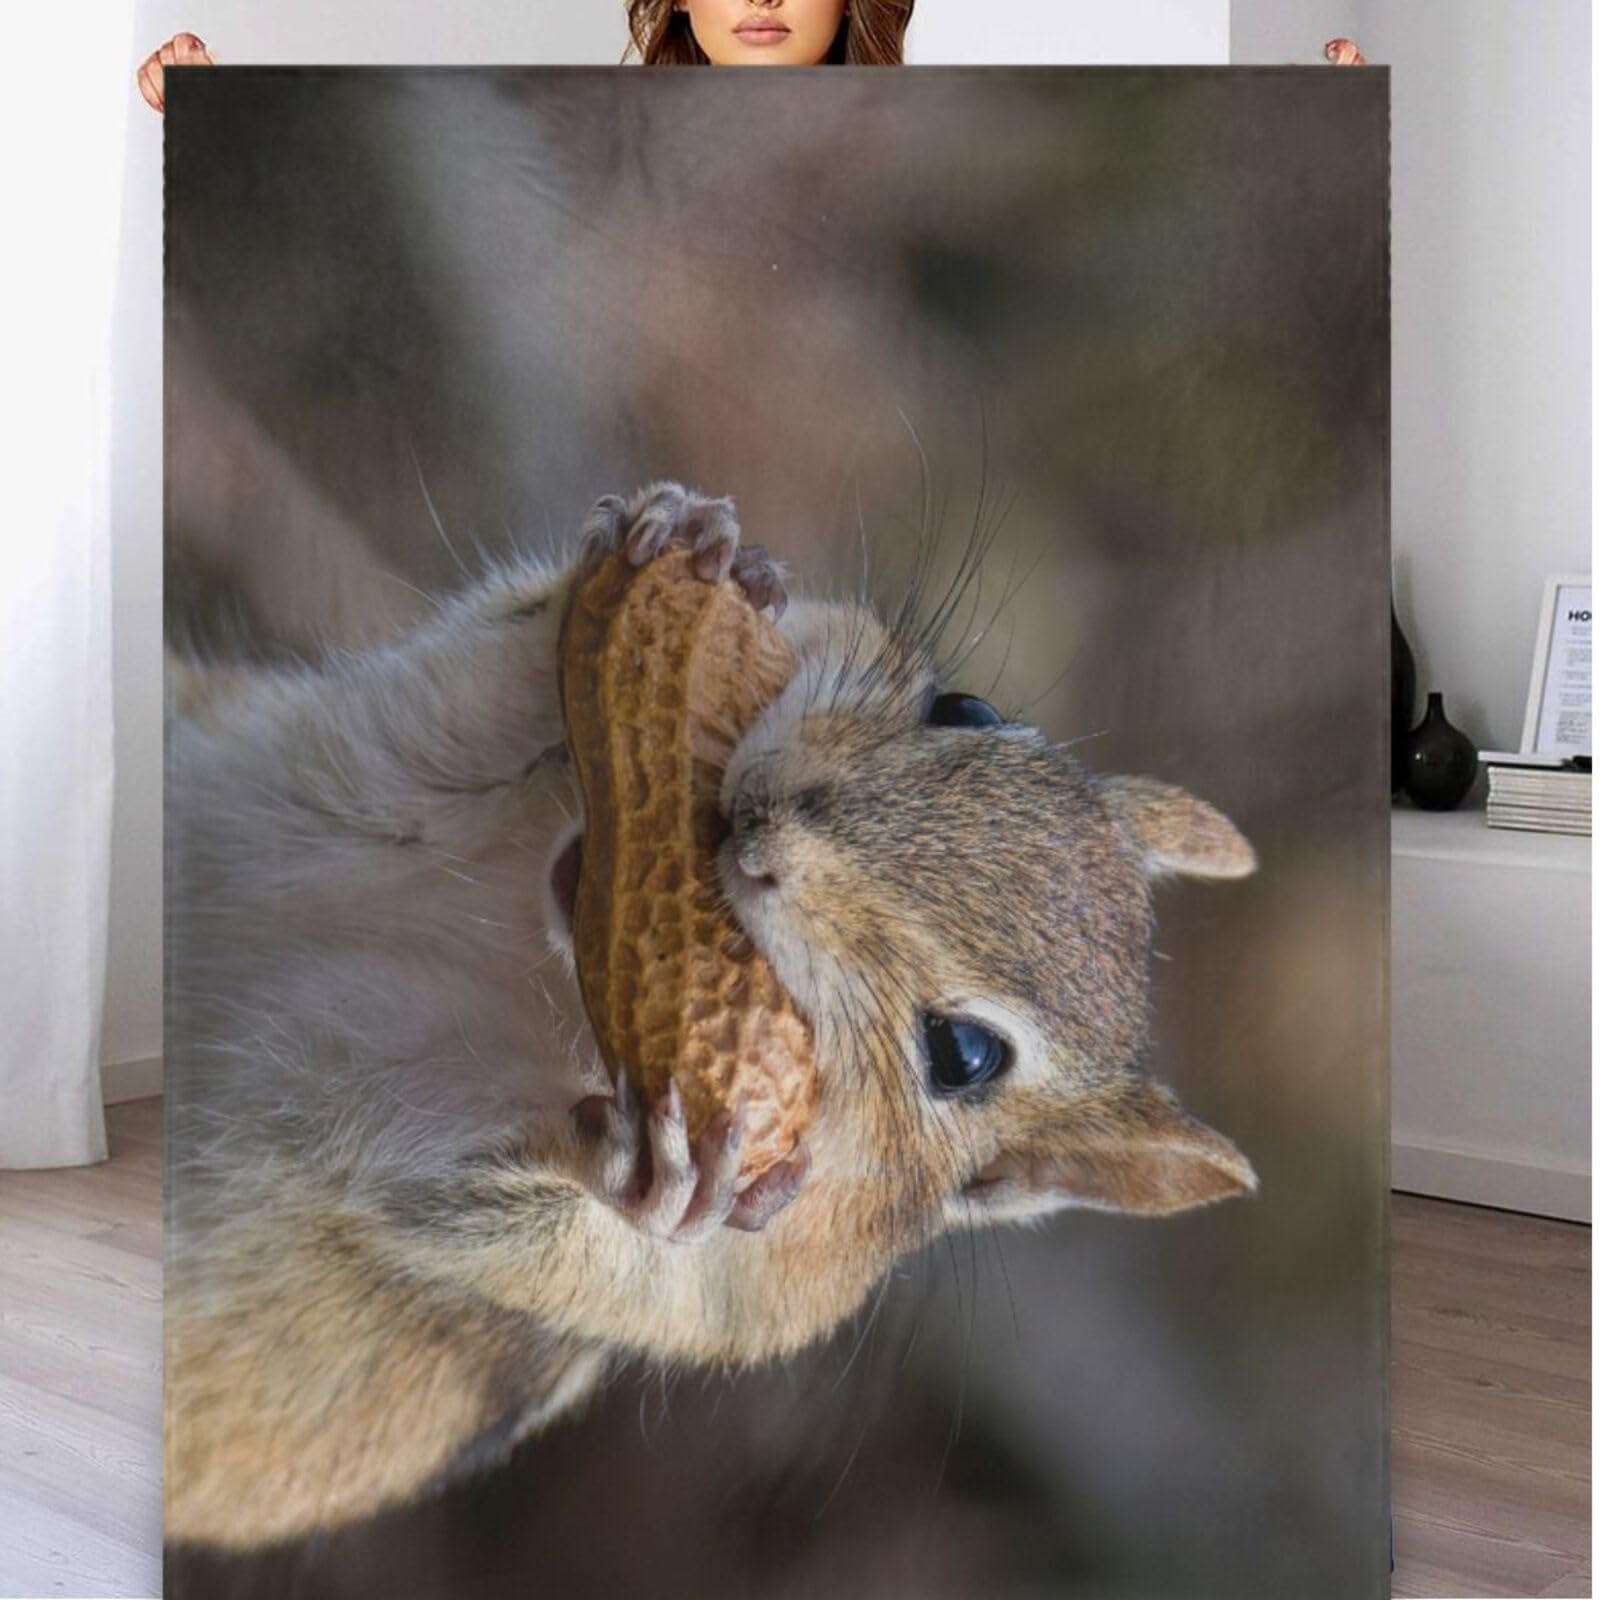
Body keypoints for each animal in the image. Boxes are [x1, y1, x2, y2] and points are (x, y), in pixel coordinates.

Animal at [165, 482, 1258, 1548]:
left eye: (963, 1053)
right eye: (970, 707)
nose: (762, 806)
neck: (521, 960)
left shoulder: (713, 1289)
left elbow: (496, 1213)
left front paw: (650, 1173)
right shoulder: (362, 779)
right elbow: (458, 693)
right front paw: (702, 548)